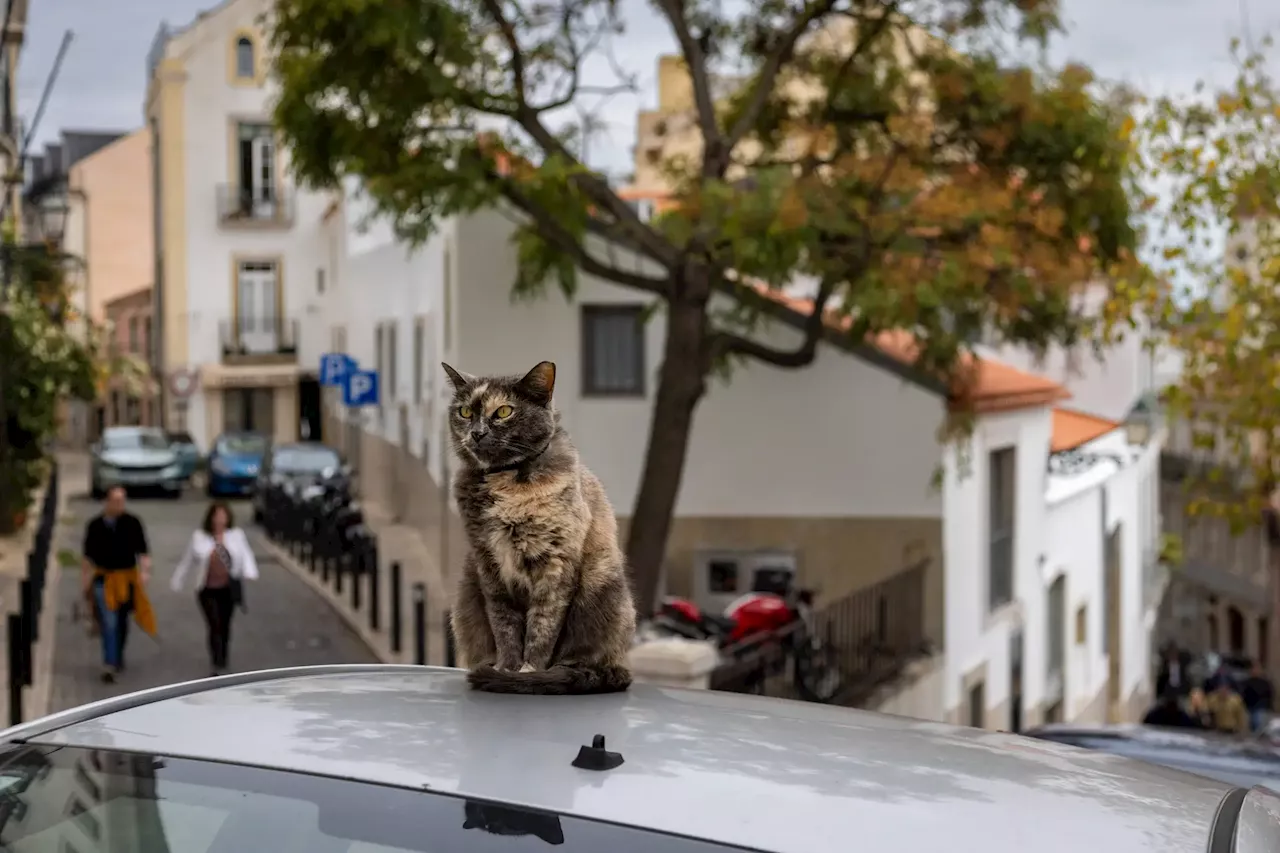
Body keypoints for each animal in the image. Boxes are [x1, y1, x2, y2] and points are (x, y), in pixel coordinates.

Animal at [442, 358, 637, 691]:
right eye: (465, 412)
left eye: (503, 411)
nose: (477, 433)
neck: (506, 480)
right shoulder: (488, 565)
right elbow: (504, 624)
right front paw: (506, 669)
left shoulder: (554, 565)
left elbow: (542, 627)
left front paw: (528, 672)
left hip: (602, 586)